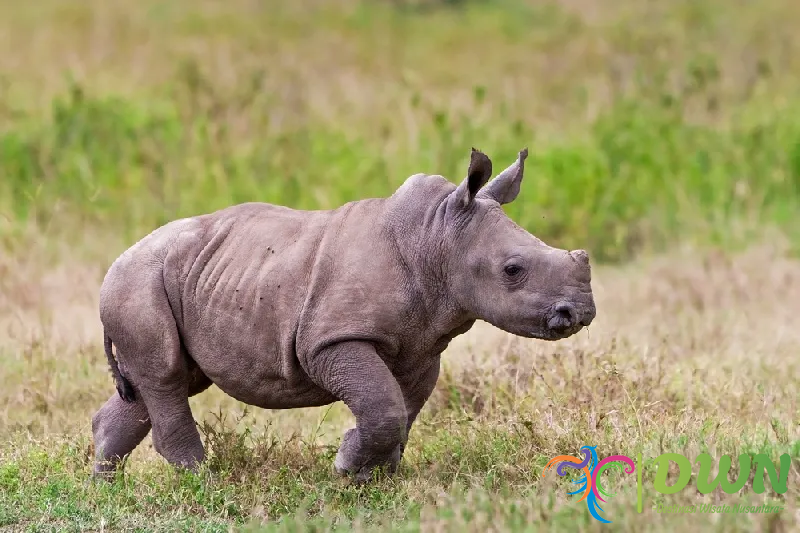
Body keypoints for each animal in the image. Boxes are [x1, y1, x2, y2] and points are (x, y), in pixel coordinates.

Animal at [92, 147, 592, 482]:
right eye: (513, 270)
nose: (581, 313)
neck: (436, 239)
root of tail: (117, 261)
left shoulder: (421, 347)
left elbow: (401, 408)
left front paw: (371, 476)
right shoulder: (332, 339)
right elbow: (384, 406)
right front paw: (347, 467)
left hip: (178, 279)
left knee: (165, 380)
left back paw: (106, 486)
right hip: (138, 281)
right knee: (166, 374)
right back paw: (203, 484)